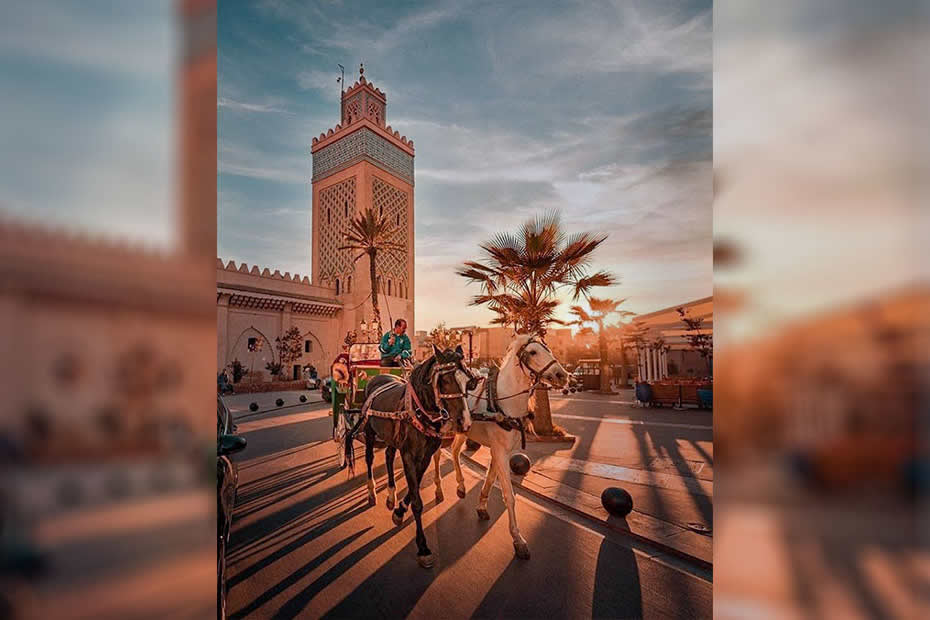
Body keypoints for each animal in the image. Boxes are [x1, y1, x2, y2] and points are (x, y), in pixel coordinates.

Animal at [340, 346, 472, 568]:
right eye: (445, 380)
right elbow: (417, 501)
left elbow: (413, 489)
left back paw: (391, 494)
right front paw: (423, 547)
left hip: (390, 438)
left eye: (468, 381)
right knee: (369, 458)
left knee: (388, 455)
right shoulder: (408, 454)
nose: (465, 422)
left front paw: (399, 510)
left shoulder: (424, 456)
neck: (421, 411)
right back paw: (371, 491)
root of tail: (380, 376)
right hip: (369, 430)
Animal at [426, 336, 564, 560]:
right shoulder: (499, 451)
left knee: (454, 451)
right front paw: (518, 539)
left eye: (548, 348)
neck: (504, 402)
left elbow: (491, 479)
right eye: (533, 352)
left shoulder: (499, 451)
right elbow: (509, 494)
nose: (563, 375)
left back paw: (461, 486)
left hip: (463, 429)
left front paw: (481, 505)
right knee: (438, 456)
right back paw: (438, 488)